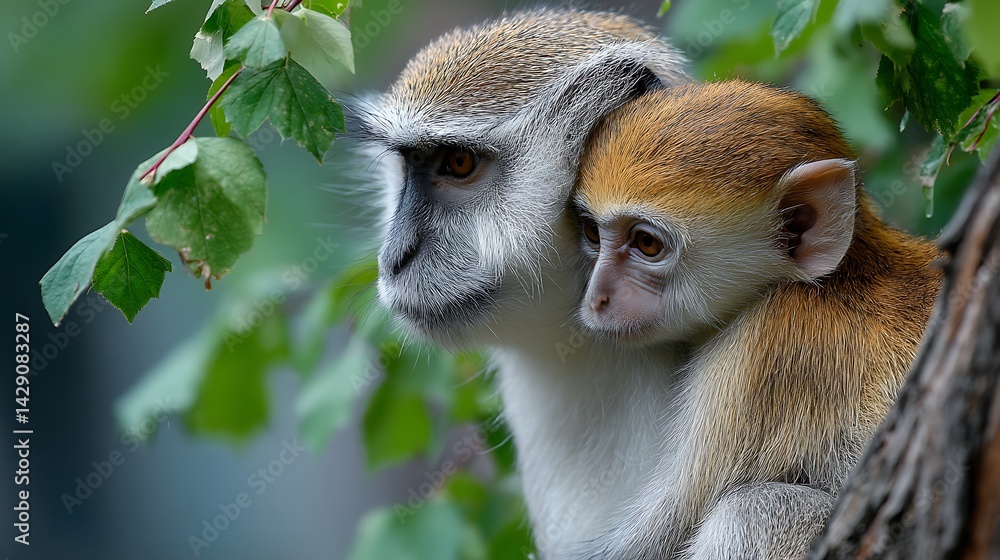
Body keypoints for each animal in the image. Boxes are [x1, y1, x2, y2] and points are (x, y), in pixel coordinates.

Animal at [570, 80, 942, 559]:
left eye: (646, 244)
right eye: (593, 232)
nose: (596, 299)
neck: (843, 275)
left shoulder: (766, 346)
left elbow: (664, 534)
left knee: (754, 511)